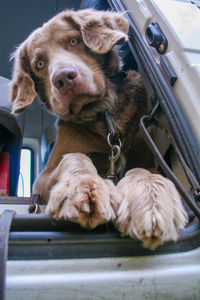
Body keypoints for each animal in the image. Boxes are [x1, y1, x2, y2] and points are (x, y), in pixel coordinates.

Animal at [9, 8, 188, 248]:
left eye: (74, 41)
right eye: (39, 64)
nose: (64, 78)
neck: (103, 114)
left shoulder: (149, 156)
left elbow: (141, 170)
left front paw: (151, 202)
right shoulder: (41, 182)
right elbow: (76, 157)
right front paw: (84, 186)